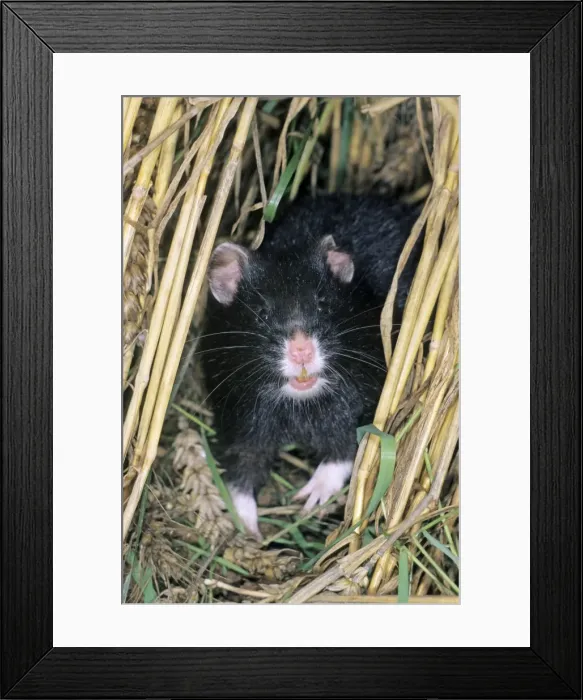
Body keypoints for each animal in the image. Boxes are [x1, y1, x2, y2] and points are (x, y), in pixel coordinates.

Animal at [200, 194, 422, 538]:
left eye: (322, 304)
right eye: (262, 313)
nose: (302, 352)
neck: (300, 404)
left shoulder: (365, 399)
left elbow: (346, 447)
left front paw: (307, 500)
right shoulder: (240, 416)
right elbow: (241, 470)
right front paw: (250, 532)